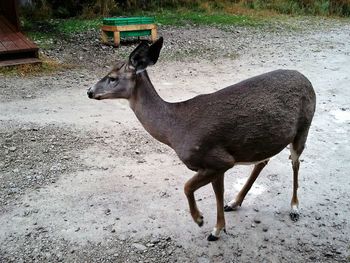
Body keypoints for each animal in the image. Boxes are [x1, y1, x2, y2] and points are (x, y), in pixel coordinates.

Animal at [87, 37, 318, 241]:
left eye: (112, 77)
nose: (89, 91)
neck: (174, 130)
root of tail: (306, 79)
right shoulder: (216, 165)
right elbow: (218, 194)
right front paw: (218, 229)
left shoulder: (218, 159)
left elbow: (187, 187)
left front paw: (200, 220)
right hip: (267, 139)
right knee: (263, 161)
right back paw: (235, 202)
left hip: (304, 127)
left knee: (295, 162)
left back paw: (294, 207)